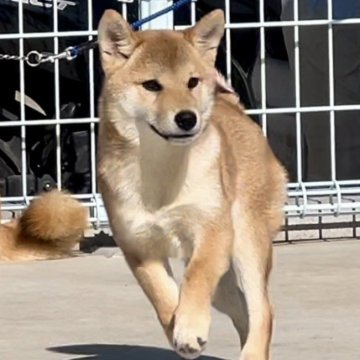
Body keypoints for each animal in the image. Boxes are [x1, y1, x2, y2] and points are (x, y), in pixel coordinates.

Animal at [97, 7, 286, 360]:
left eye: (192, 82)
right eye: (152, 85)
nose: (187, 118)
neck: (162, 173)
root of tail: (236, 110)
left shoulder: (212, 233)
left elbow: (196, 278)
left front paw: (189, 326)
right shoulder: (138, 246)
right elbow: (163, 295)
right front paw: (181, 327)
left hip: (246, 243)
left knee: (262, 310)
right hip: (224, 286)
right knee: (242, 313)